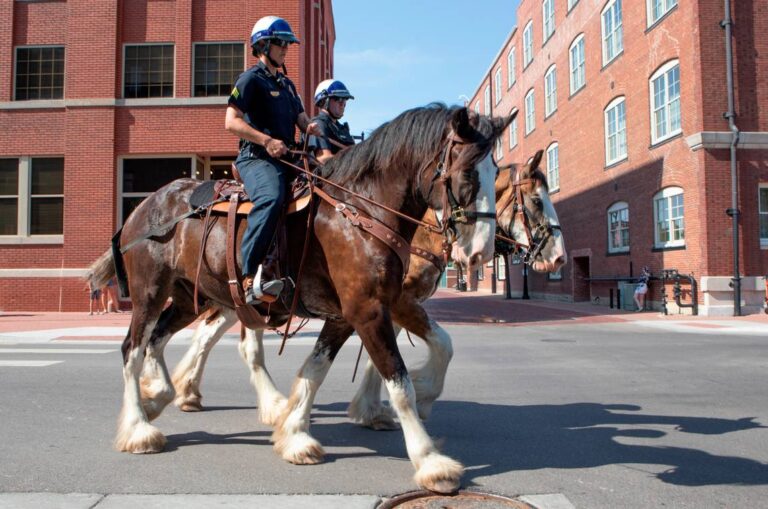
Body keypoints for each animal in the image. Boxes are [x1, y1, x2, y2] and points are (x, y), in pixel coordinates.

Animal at [88, 104, 510, 492]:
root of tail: (143, 206)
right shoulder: (369, 309)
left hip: (187, 298)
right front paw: (429, 459)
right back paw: (139, 428)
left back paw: (160, 395)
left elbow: (317, 369)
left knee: (157, 340)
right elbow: (398, 381)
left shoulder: (350, 313)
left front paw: (295, 434)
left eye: (497, 175)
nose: (480, 252)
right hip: (150, 292)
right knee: (132, 348)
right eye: (469, 173)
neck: (361, 210)